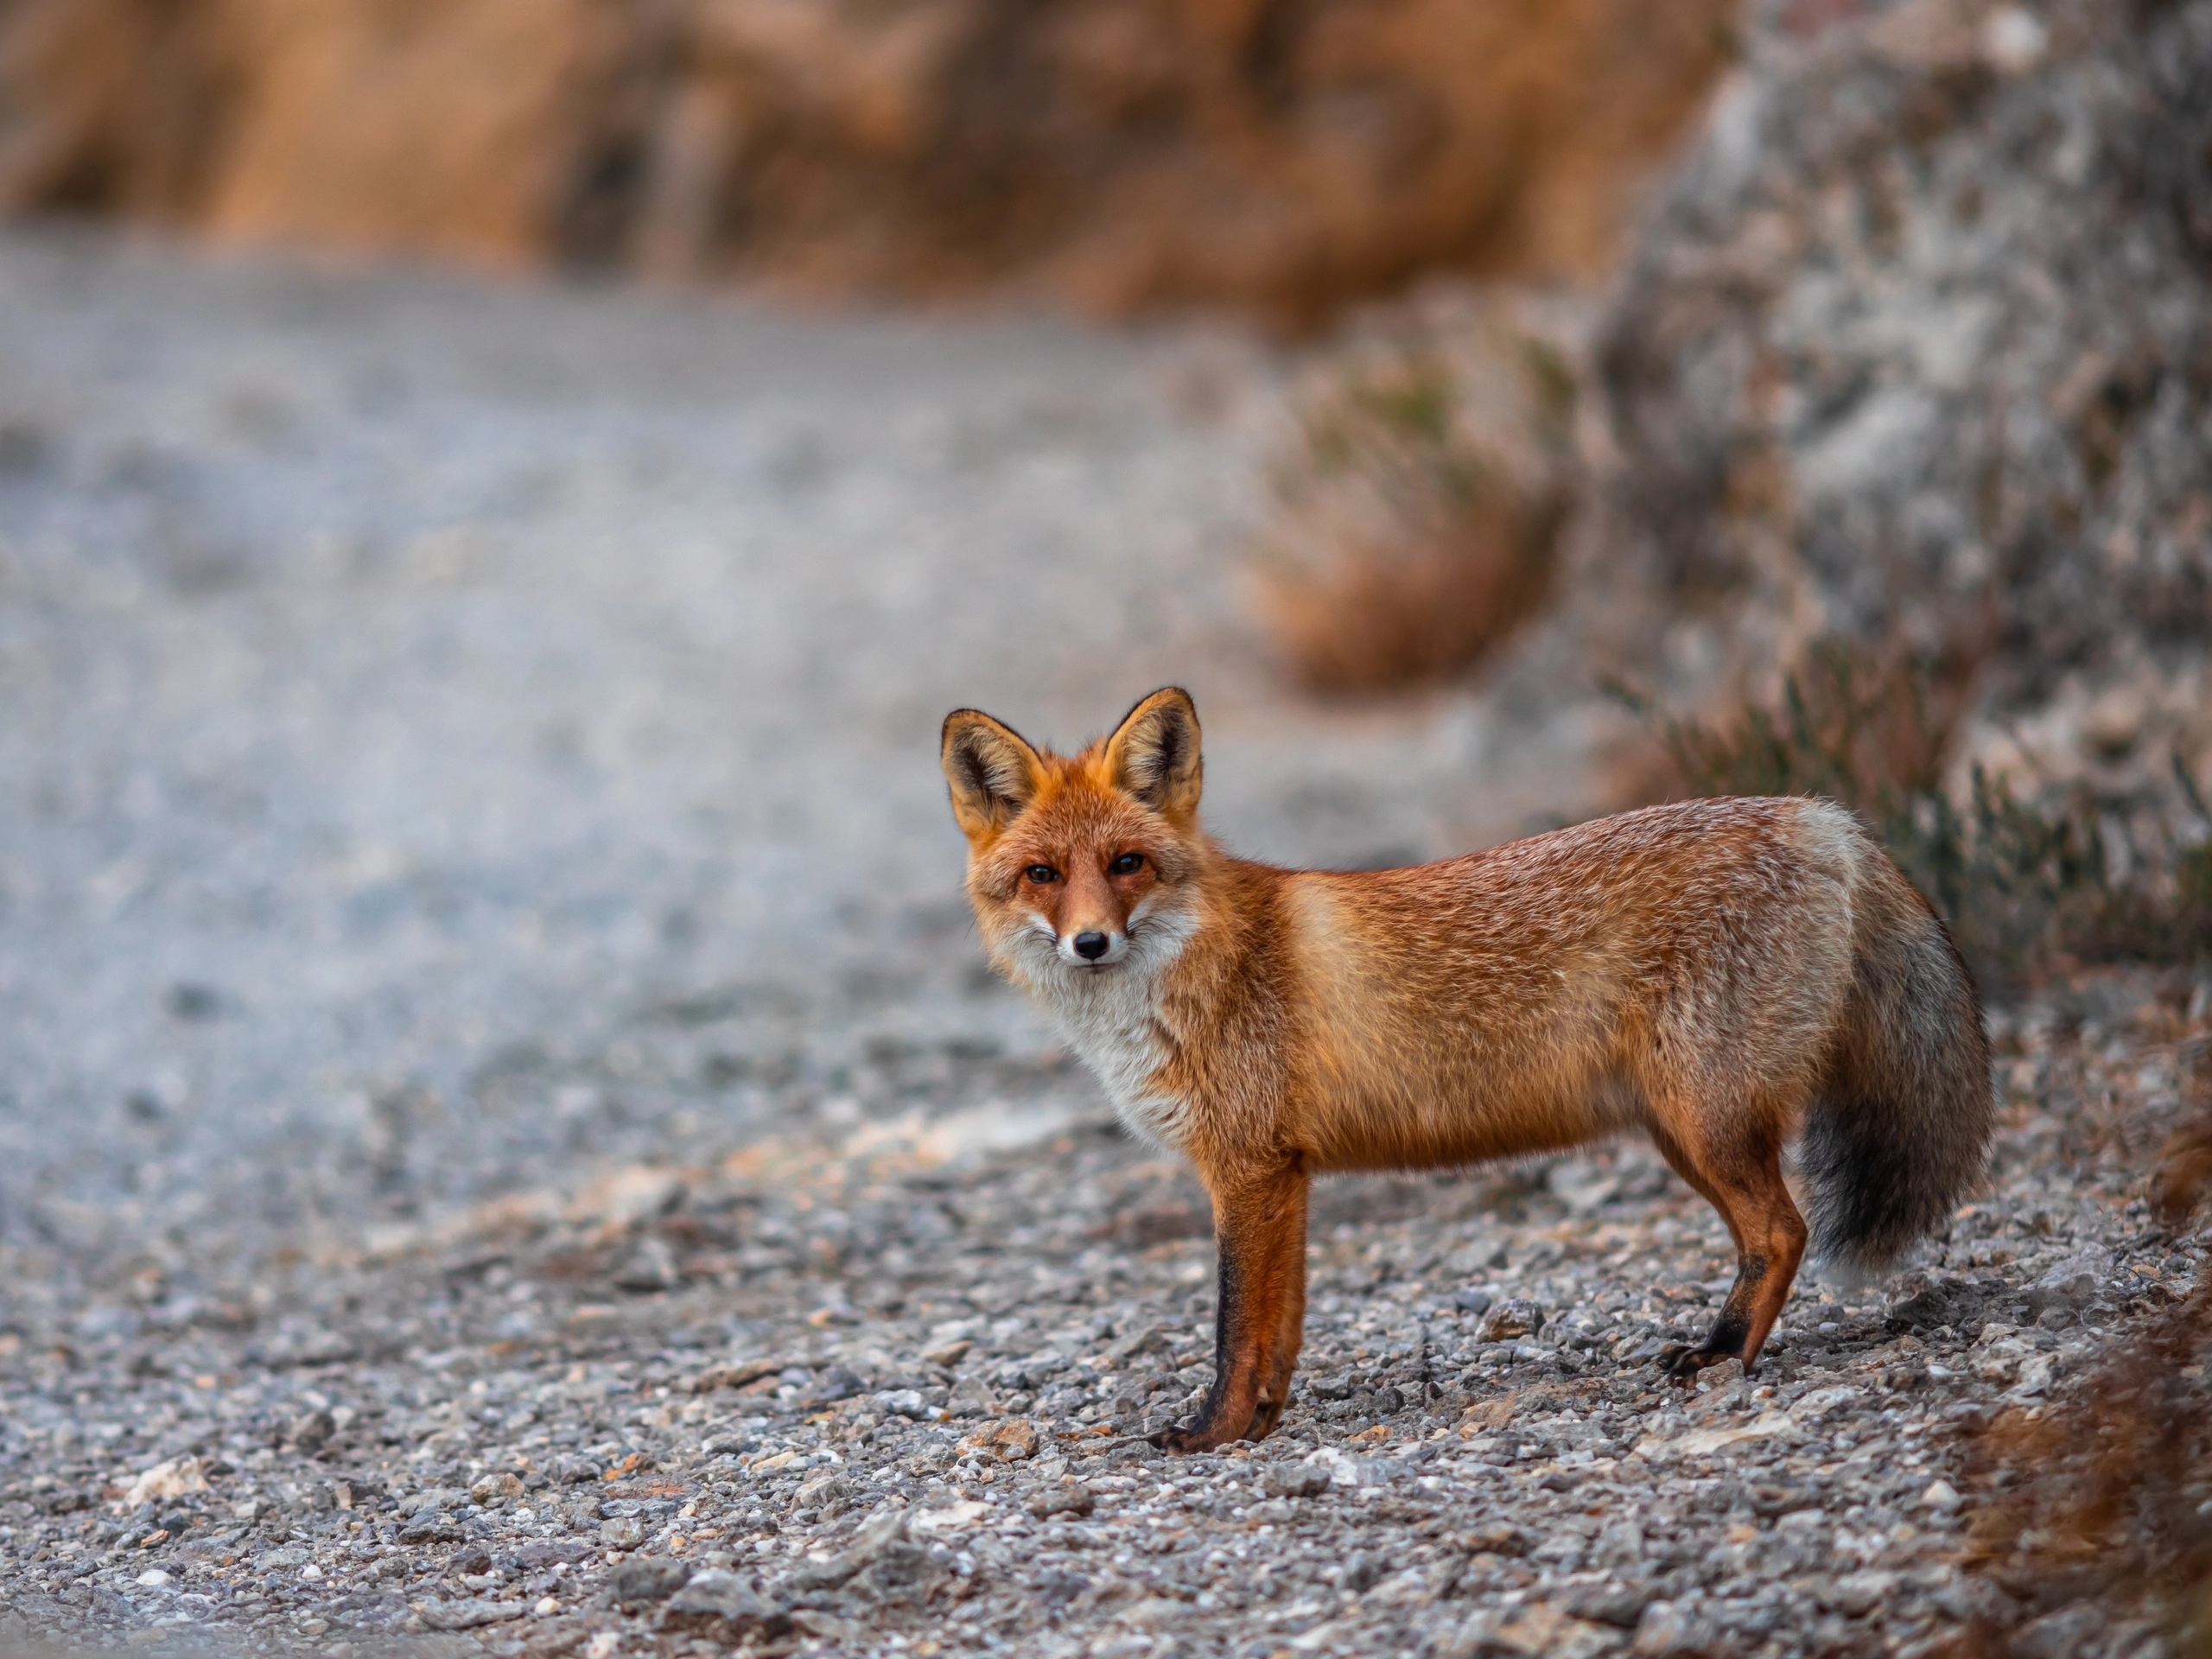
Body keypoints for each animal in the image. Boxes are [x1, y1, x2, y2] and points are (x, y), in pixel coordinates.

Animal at [942, 690, 1999, 1451]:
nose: (1089, 943)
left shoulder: (1245, 1169)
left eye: (1126, 864)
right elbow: (1280, 1327)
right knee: (1768, 1236)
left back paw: (1720, 1356)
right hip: (1681, 1131)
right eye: (1043, 875)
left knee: (1785, 1231)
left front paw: (1213, 1435)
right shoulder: (1285, 1175)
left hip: (1707, 1119)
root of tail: (1819, 815)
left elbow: (1235, 1328)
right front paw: (1266, 1425)